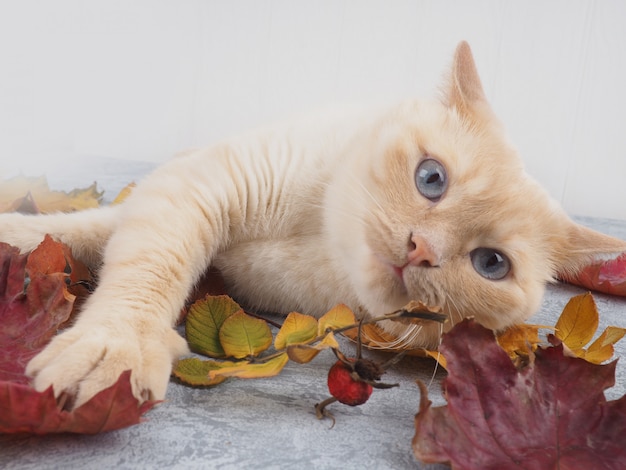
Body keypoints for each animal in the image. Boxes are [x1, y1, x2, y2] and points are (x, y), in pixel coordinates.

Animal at [1, 41, 624, 408]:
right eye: (431, 178)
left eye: (491, 264)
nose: (421, 248)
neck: (317, 246)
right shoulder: (198, 185)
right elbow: (127, 252)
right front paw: (114, 347)